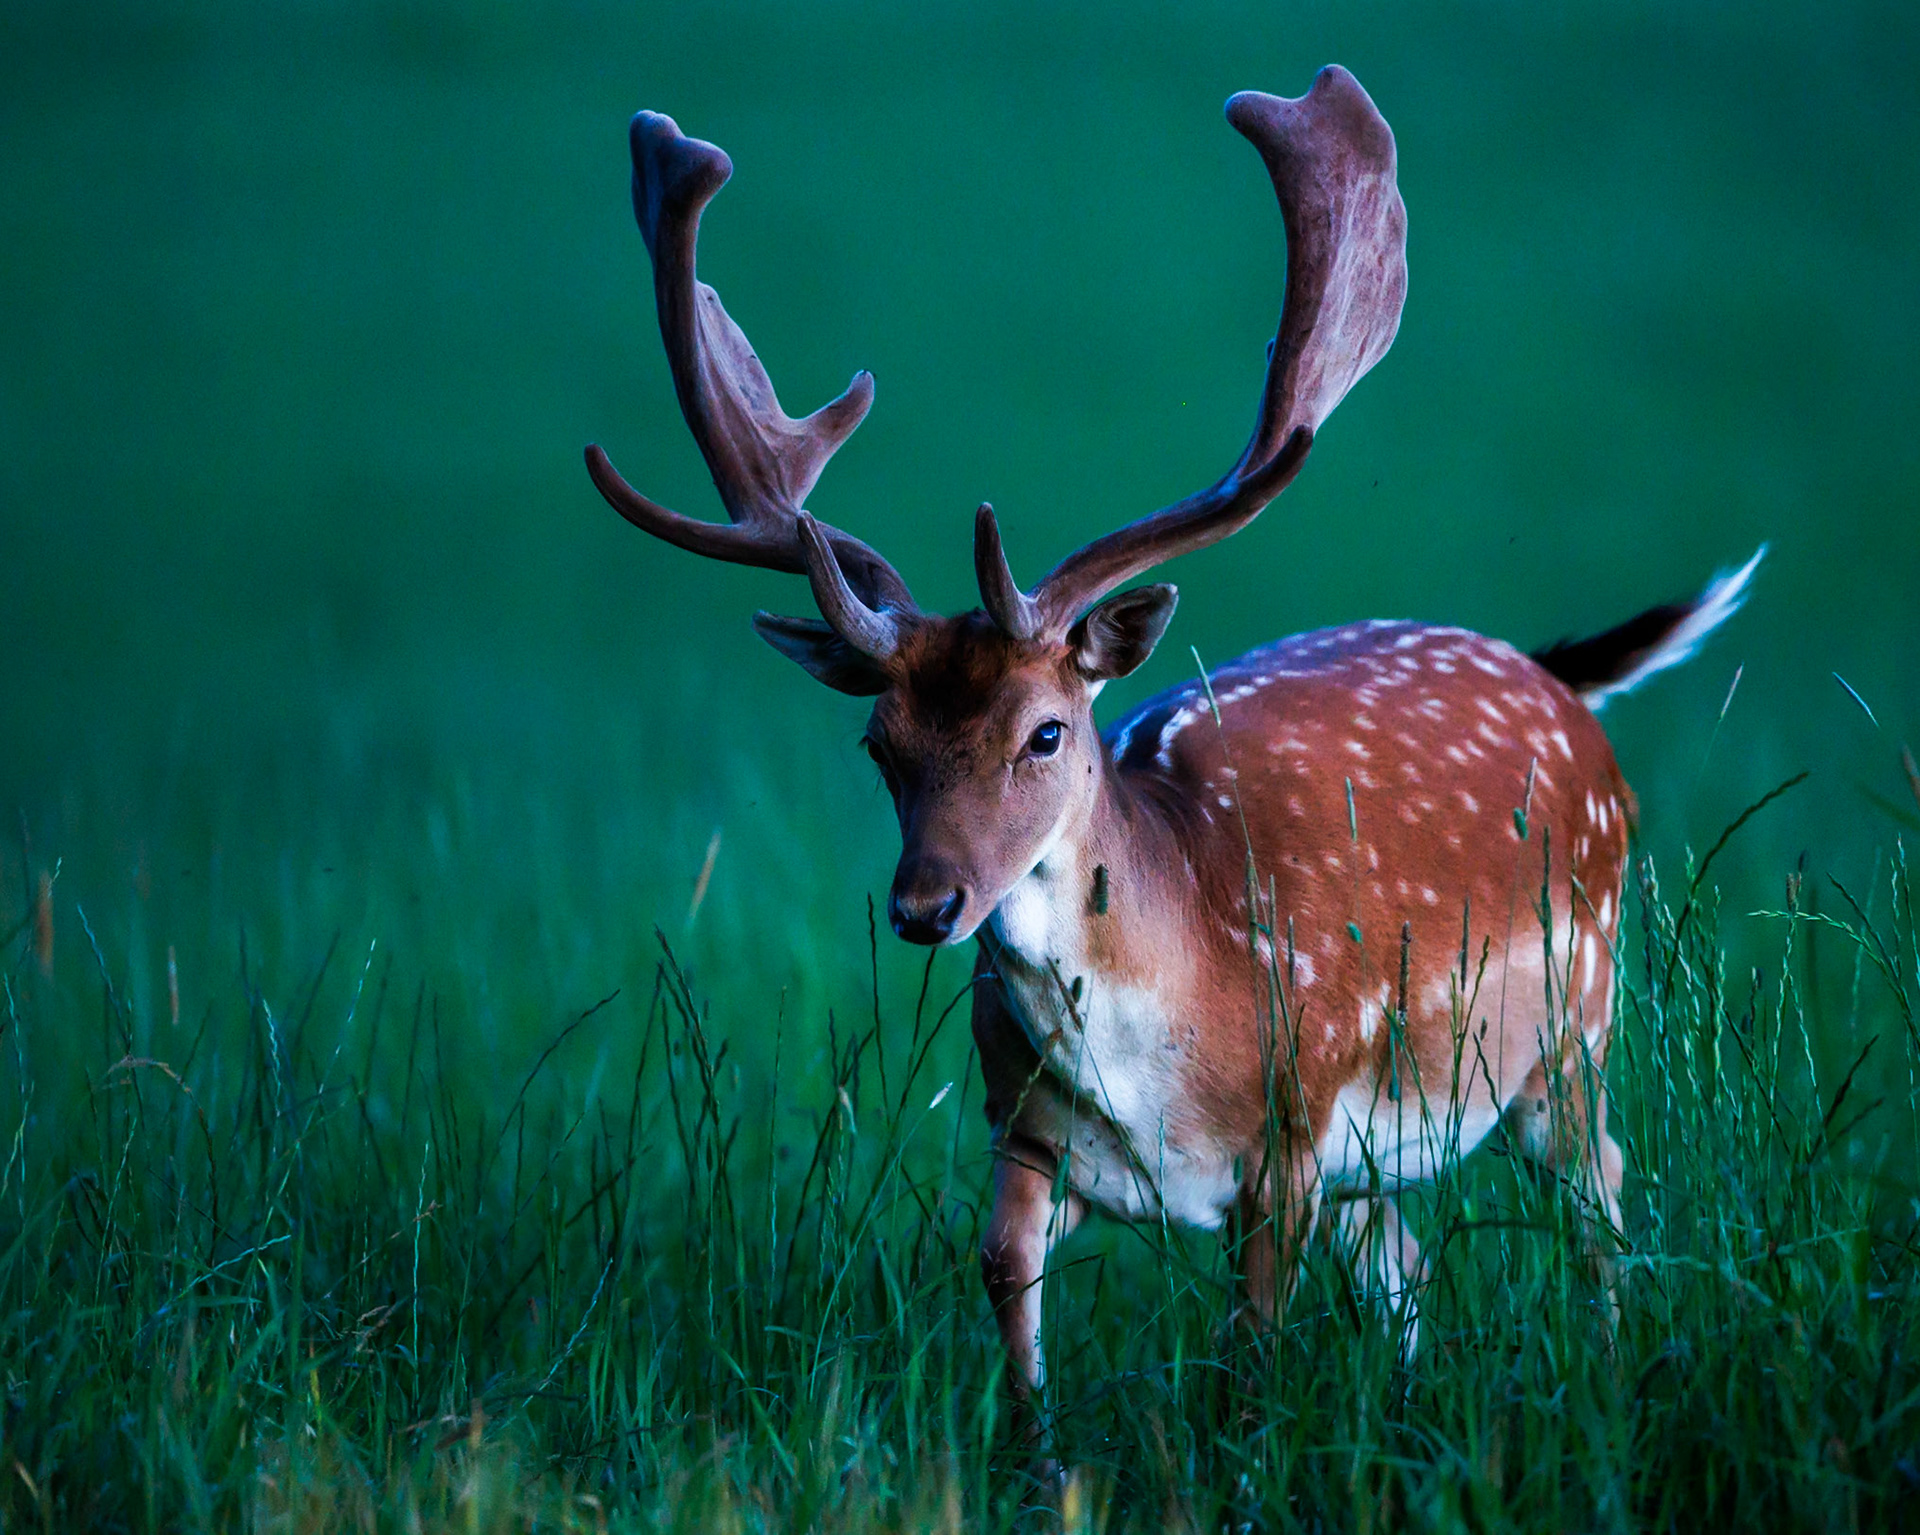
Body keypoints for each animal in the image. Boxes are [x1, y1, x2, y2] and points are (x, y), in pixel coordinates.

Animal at [584, 65, 1762, 1434]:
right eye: (879, 740)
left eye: (1046, 729)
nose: (926, 904)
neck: (1160, 1059)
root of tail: (1552, 673)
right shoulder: (1024, 1132)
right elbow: (1005, 1284)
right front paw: (1035, 1455)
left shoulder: (1298, 1122)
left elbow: (1248, 1358)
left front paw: (1237, 1455)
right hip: (1397, 1147)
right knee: (1412, 1265)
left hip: (1574, 1024)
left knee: (1603, 1196)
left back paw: (1616, 1376)